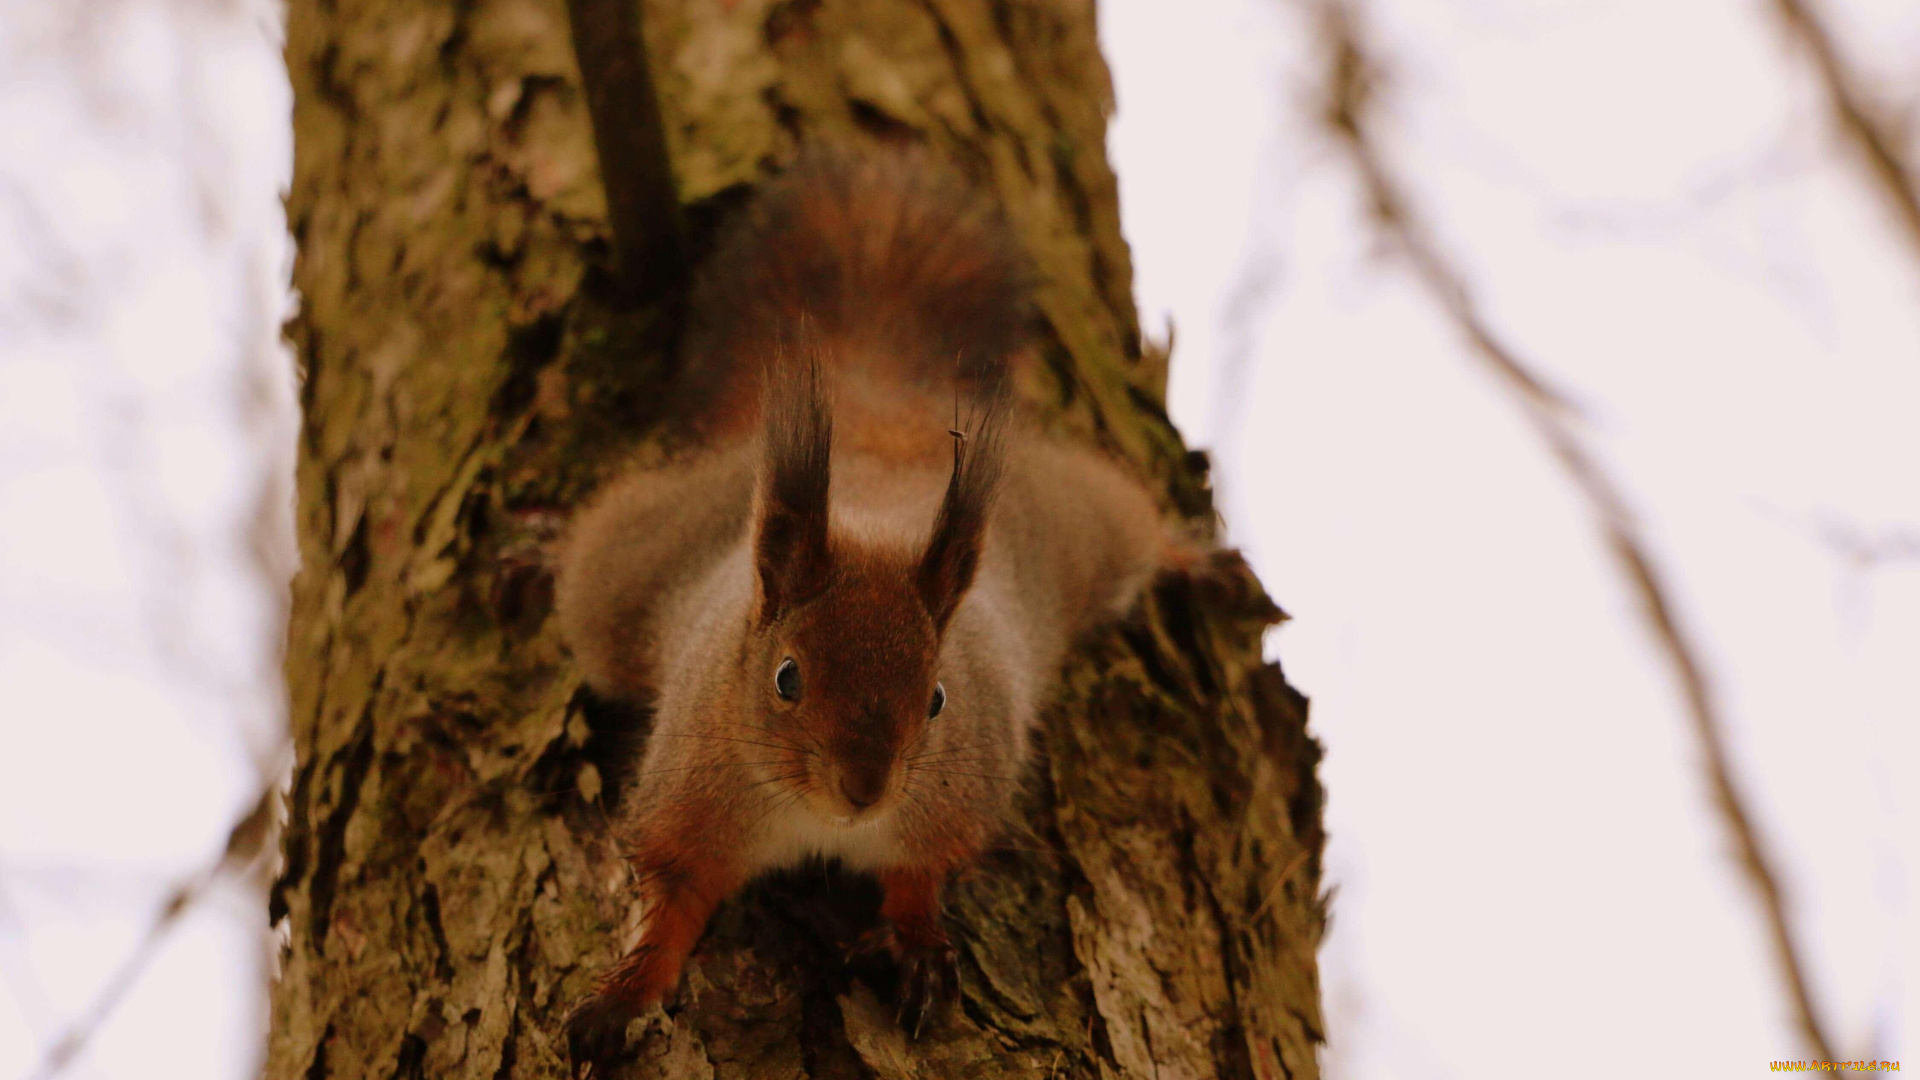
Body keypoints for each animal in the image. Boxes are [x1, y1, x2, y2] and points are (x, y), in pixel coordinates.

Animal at [556, 151, 1167, 1068]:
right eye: (786, 677)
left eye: (939, 697)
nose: (865, 789)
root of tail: (883, 426)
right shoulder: (691, 800)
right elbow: (672, 898)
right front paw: (623, 994)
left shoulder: (954, 797)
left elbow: (922, 874)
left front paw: (915, 945)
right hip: (624, 580)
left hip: (1085, 528)